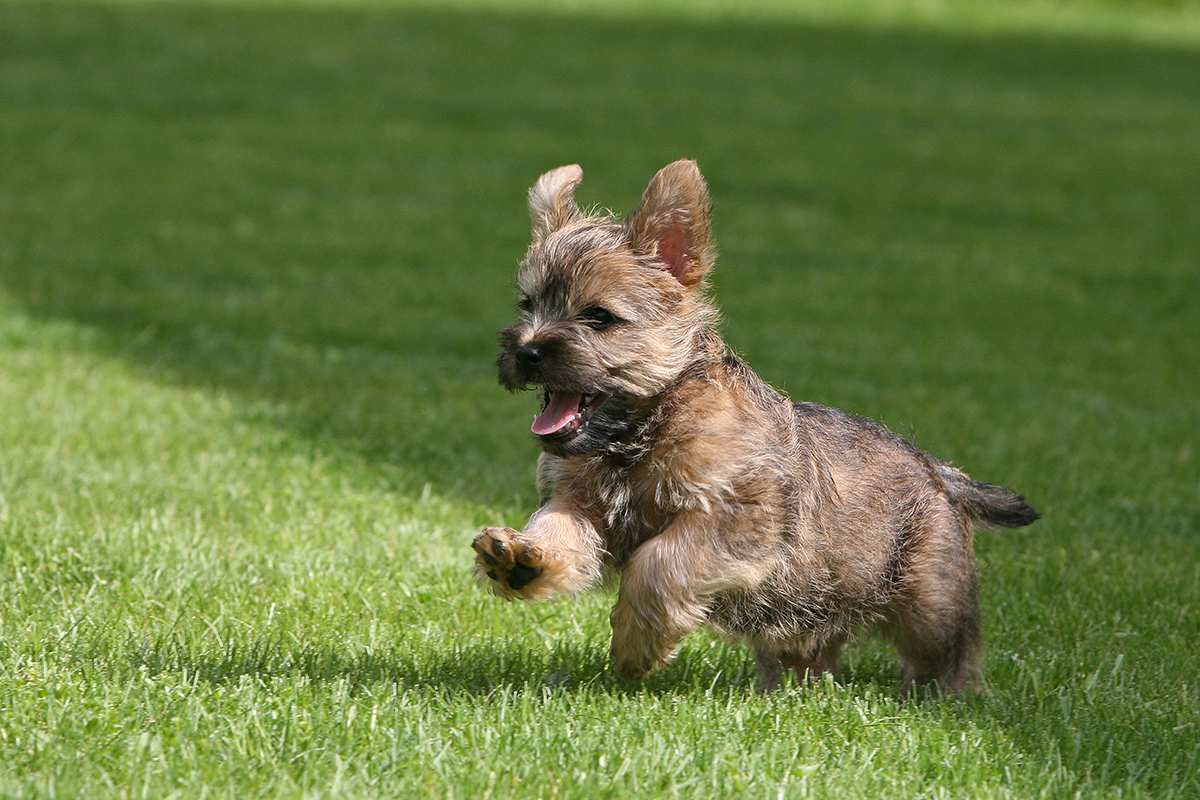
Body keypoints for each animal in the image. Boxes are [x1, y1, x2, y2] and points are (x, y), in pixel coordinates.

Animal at [472, 158, 1036, 695]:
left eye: (599, 317)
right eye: (527, 304)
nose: (526, 351)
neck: (643, 432)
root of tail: (938, 472)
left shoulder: (738, 517)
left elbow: (660, 563)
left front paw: (635, 646)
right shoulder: (578, 499)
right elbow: (558, 528)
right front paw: (521, 558)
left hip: (930, 599)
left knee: (950, 652)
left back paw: (947, 699)